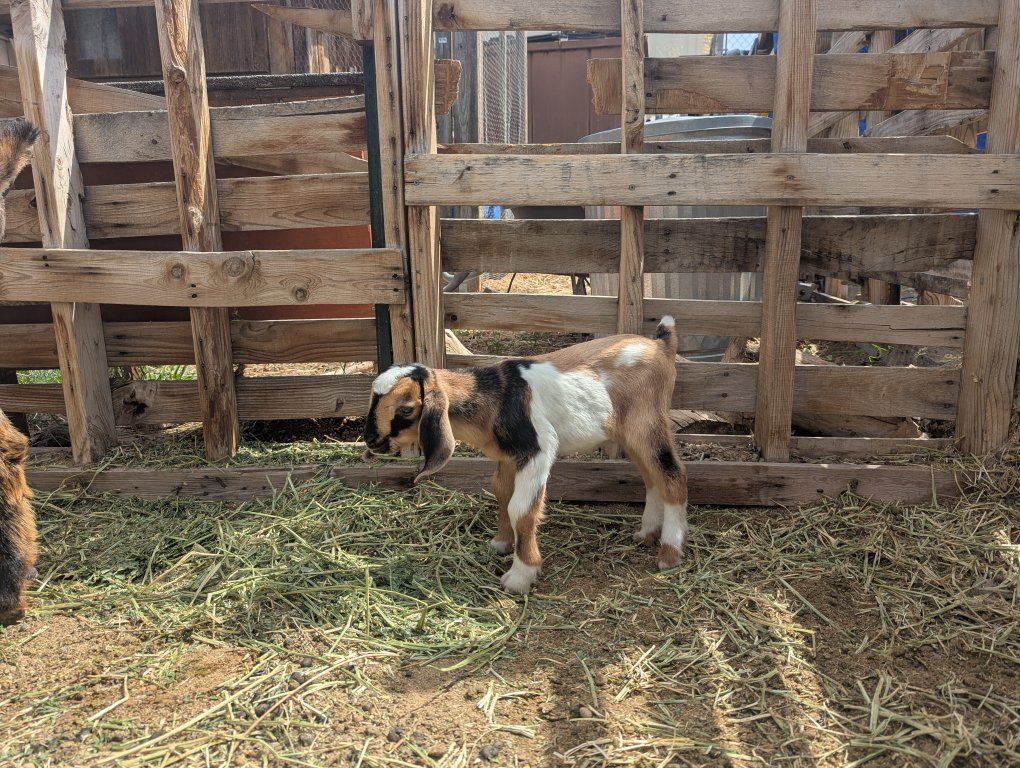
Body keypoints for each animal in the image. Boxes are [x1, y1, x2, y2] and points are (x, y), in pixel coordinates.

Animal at [363, 317, 688, 594]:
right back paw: (646, 533)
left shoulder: (537, 451)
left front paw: (520, 576)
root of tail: (661, 344)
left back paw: (669, 554)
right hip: (630, 435)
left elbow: (521, 508)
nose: (370, 440)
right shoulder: (508, 457)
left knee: (673, 475)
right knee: (651, 478)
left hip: (647, 424)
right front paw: (500, 543)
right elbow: (501, 492)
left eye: (406, 409)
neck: (496, 397)